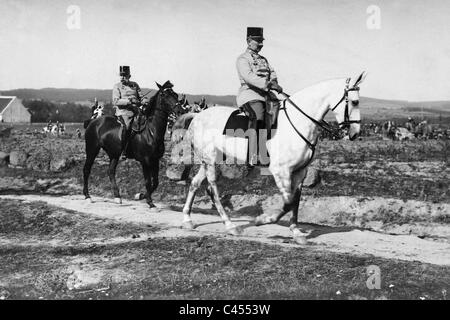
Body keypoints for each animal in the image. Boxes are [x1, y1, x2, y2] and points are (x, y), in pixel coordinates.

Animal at [82, 81, 178, 209]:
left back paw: (117, 197)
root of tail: (93, 121)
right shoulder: (145, 161)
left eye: (175, 94)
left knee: (110, 172)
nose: (180, 110)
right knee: (87, 170)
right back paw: (87, 196)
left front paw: (141, 196)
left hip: (114, 154)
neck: (151, 131)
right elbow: (148, 182)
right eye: (165, 95)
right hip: (92, 149)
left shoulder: (155, 160)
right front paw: (149, 201)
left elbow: (156, 182)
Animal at [178, 72, 366, 242]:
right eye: (355, 102)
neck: (299, 122)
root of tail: (198, 116)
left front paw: (296, 232)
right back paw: (231, 226)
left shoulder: (300, 172)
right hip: (209, 159)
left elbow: (295, 201)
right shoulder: (280, 170)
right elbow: (288, 202)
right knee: (213, 189)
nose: (355, 133)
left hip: (212, 159)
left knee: (195, 184)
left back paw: (187, 220)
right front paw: (263, 219)